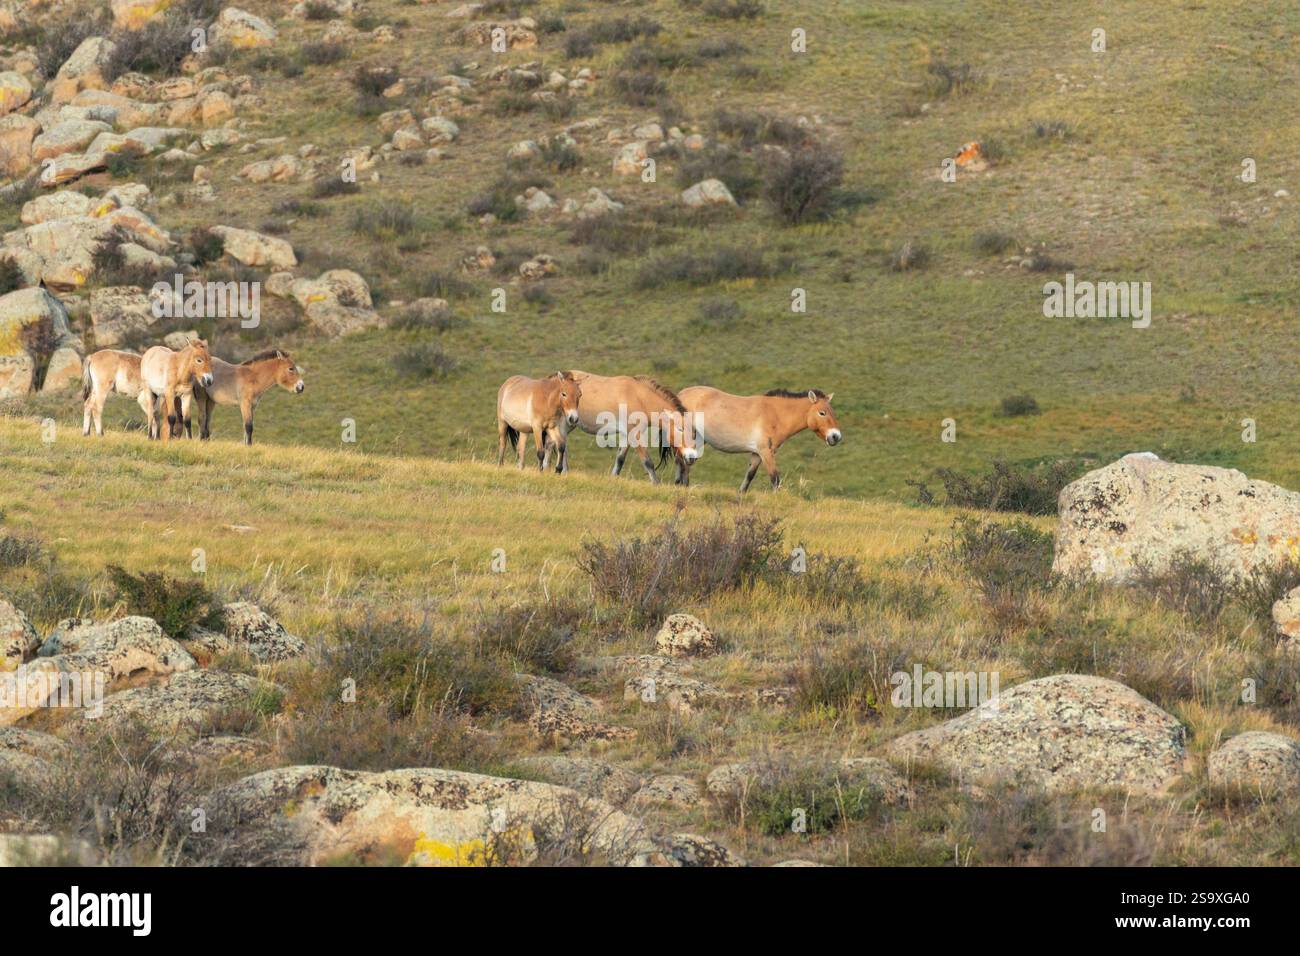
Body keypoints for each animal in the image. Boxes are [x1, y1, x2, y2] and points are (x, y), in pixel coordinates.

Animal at [566, 370, 701, 484]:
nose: (691, 458)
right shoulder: (635, 434)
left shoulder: (626, 435)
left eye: (694, 434)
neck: (640, 398)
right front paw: (656, 484)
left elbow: (620, 459)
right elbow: (648, 462)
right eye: (680, 429)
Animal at [674, 387, 842, 492]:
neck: (775, 414)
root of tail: (680, 395)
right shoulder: (766, 452)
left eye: (832, 412)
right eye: (822, 413)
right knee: (684, 463)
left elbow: (749, 476)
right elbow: (775, 479)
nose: (836, 436)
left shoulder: (757, 454)